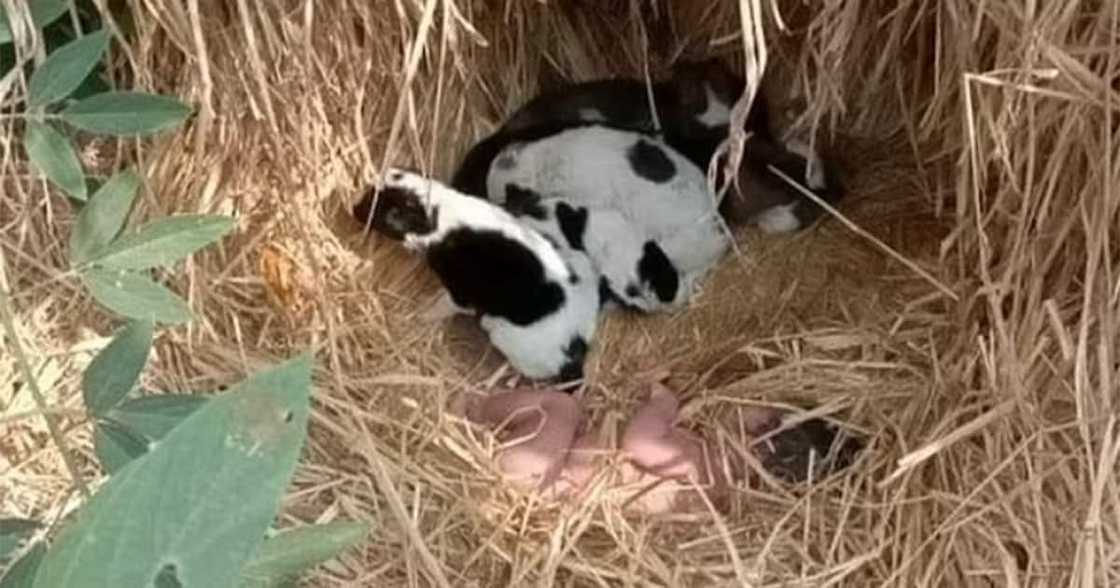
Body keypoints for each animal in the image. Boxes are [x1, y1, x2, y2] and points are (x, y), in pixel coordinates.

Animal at [353, 166, 604, 383]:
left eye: (385, 212)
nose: (354, 210)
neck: (443, 212)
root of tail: (575, 347)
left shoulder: (461, 292)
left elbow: (439, 307)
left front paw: (421, 316)